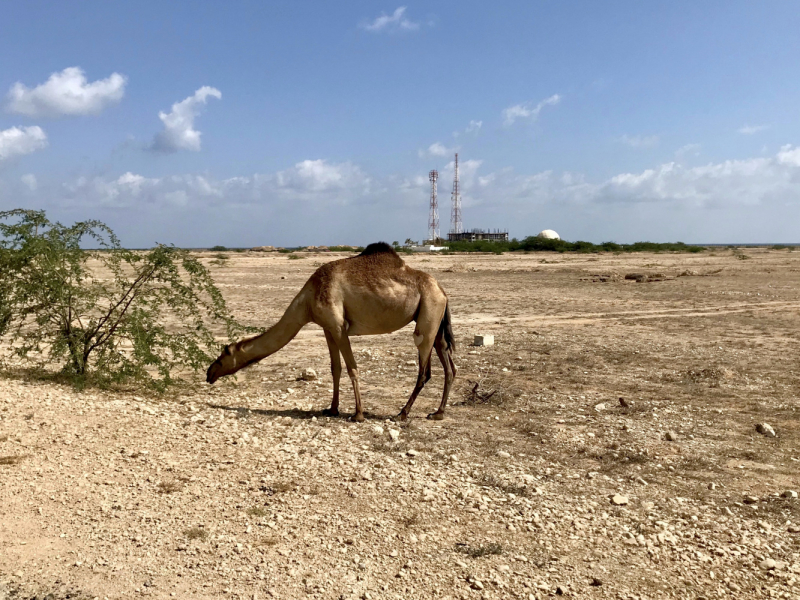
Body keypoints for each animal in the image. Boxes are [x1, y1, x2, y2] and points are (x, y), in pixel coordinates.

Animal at [206, 240, 456, 422]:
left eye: (223, 354)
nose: (209, 373)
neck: (306, 302)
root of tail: (442, 290)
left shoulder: (338, 326)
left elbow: (352, 368)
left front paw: (358, 414)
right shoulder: (327, 328)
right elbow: (335, 368)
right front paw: (332, 409)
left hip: (427, 318)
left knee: (424, 371)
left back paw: (402, 413)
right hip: (436, 322)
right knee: (449, 365)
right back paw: (438, 413)